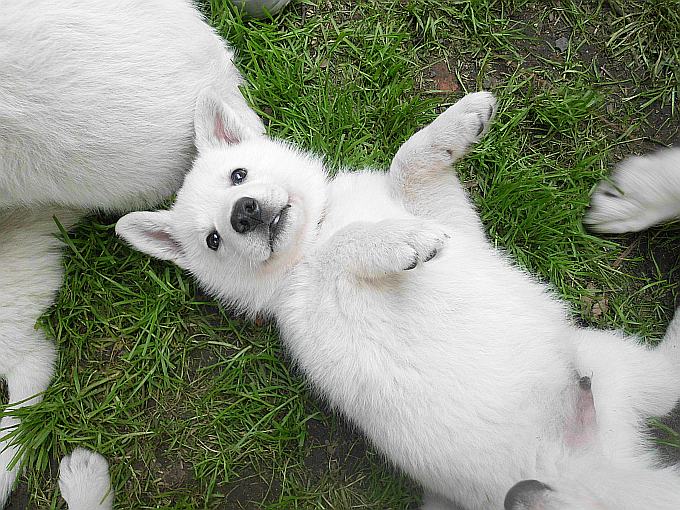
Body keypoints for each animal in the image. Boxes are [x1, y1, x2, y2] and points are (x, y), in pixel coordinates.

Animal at [117, 92, 680, 510]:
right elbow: (348, 248)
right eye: (213, 240)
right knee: (664, 388)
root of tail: (603, 467)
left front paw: (459, 123)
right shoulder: (323, 299)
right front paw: (399, 241)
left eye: (238, 175)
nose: (244, 213)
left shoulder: (454, 223)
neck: (317, 231)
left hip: (601, 361)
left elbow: (405, 161)